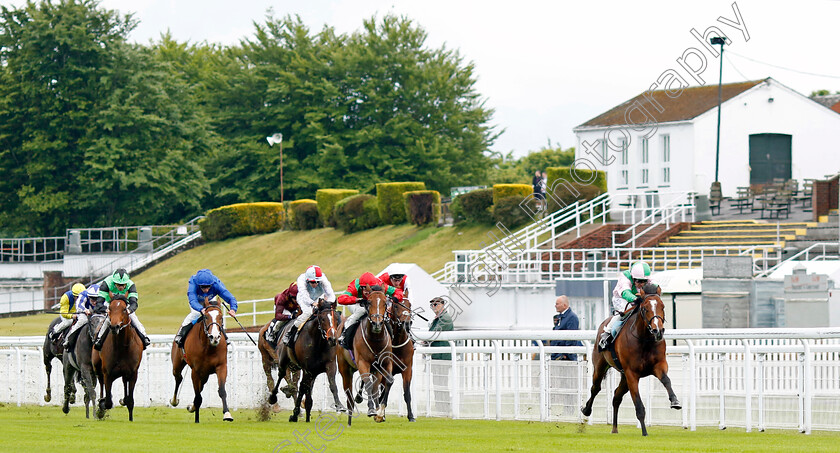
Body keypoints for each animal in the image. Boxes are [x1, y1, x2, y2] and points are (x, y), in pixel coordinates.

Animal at [336, 290, 392, 424]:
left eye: (385, 303)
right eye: (369, 302)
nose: (377, 323)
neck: (375, 339)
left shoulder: (385, 363)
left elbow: (388, 381)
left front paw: (380, 413)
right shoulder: (362, 362)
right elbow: (368, 383)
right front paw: (372, 410)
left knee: (375, 386)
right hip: (344, 369)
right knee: (349, 393)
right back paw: (349, 418)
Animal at [584, 282, 684, 434]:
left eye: (662, 306)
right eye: (645, 308)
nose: (658, 331)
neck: (644, 340)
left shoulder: (659, 365)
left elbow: (666, 380)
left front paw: (675, 401)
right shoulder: (631, 373)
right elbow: (638, 405)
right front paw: (644, 432)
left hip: (623, 376)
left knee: (616, 396)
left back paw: (614, 428)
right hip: (600, 366)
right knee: (595, 388)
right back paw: (586, 410)